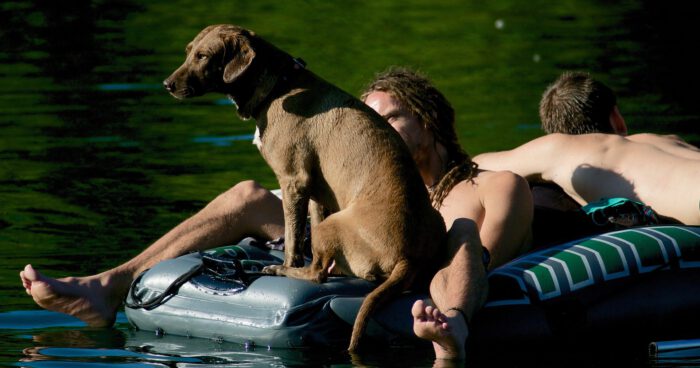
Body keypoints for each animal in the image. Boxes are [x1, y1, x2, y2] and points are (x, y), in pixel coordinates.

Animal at [163, 24, 446, 352]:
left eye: (203, 56)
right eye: (188, 51)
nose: (167, 84)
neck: (280, 87)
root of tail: (406, 257)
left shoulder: (292, 182)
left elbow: (293, 238)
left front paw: (287, 262)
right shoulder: (316, 193)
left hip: (332, 225)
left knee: (316, 274)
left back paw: (281, 270)